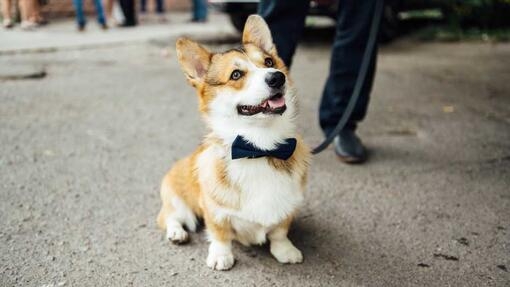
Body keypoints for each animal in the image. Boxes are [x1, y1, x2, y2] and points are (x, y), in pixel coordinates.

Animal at [156, 15, 310, 272]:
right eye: (236, 75)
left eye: (269, 62)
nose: (277, 77)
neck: (259, 148)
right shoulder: (214, 210)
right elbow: (220, 233)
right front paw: (221, 256)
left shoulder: (287, 204)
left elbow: (279, 231)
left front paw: (285, 250)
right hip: (177, 198)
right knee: (169, 216)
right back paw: (176, 233)